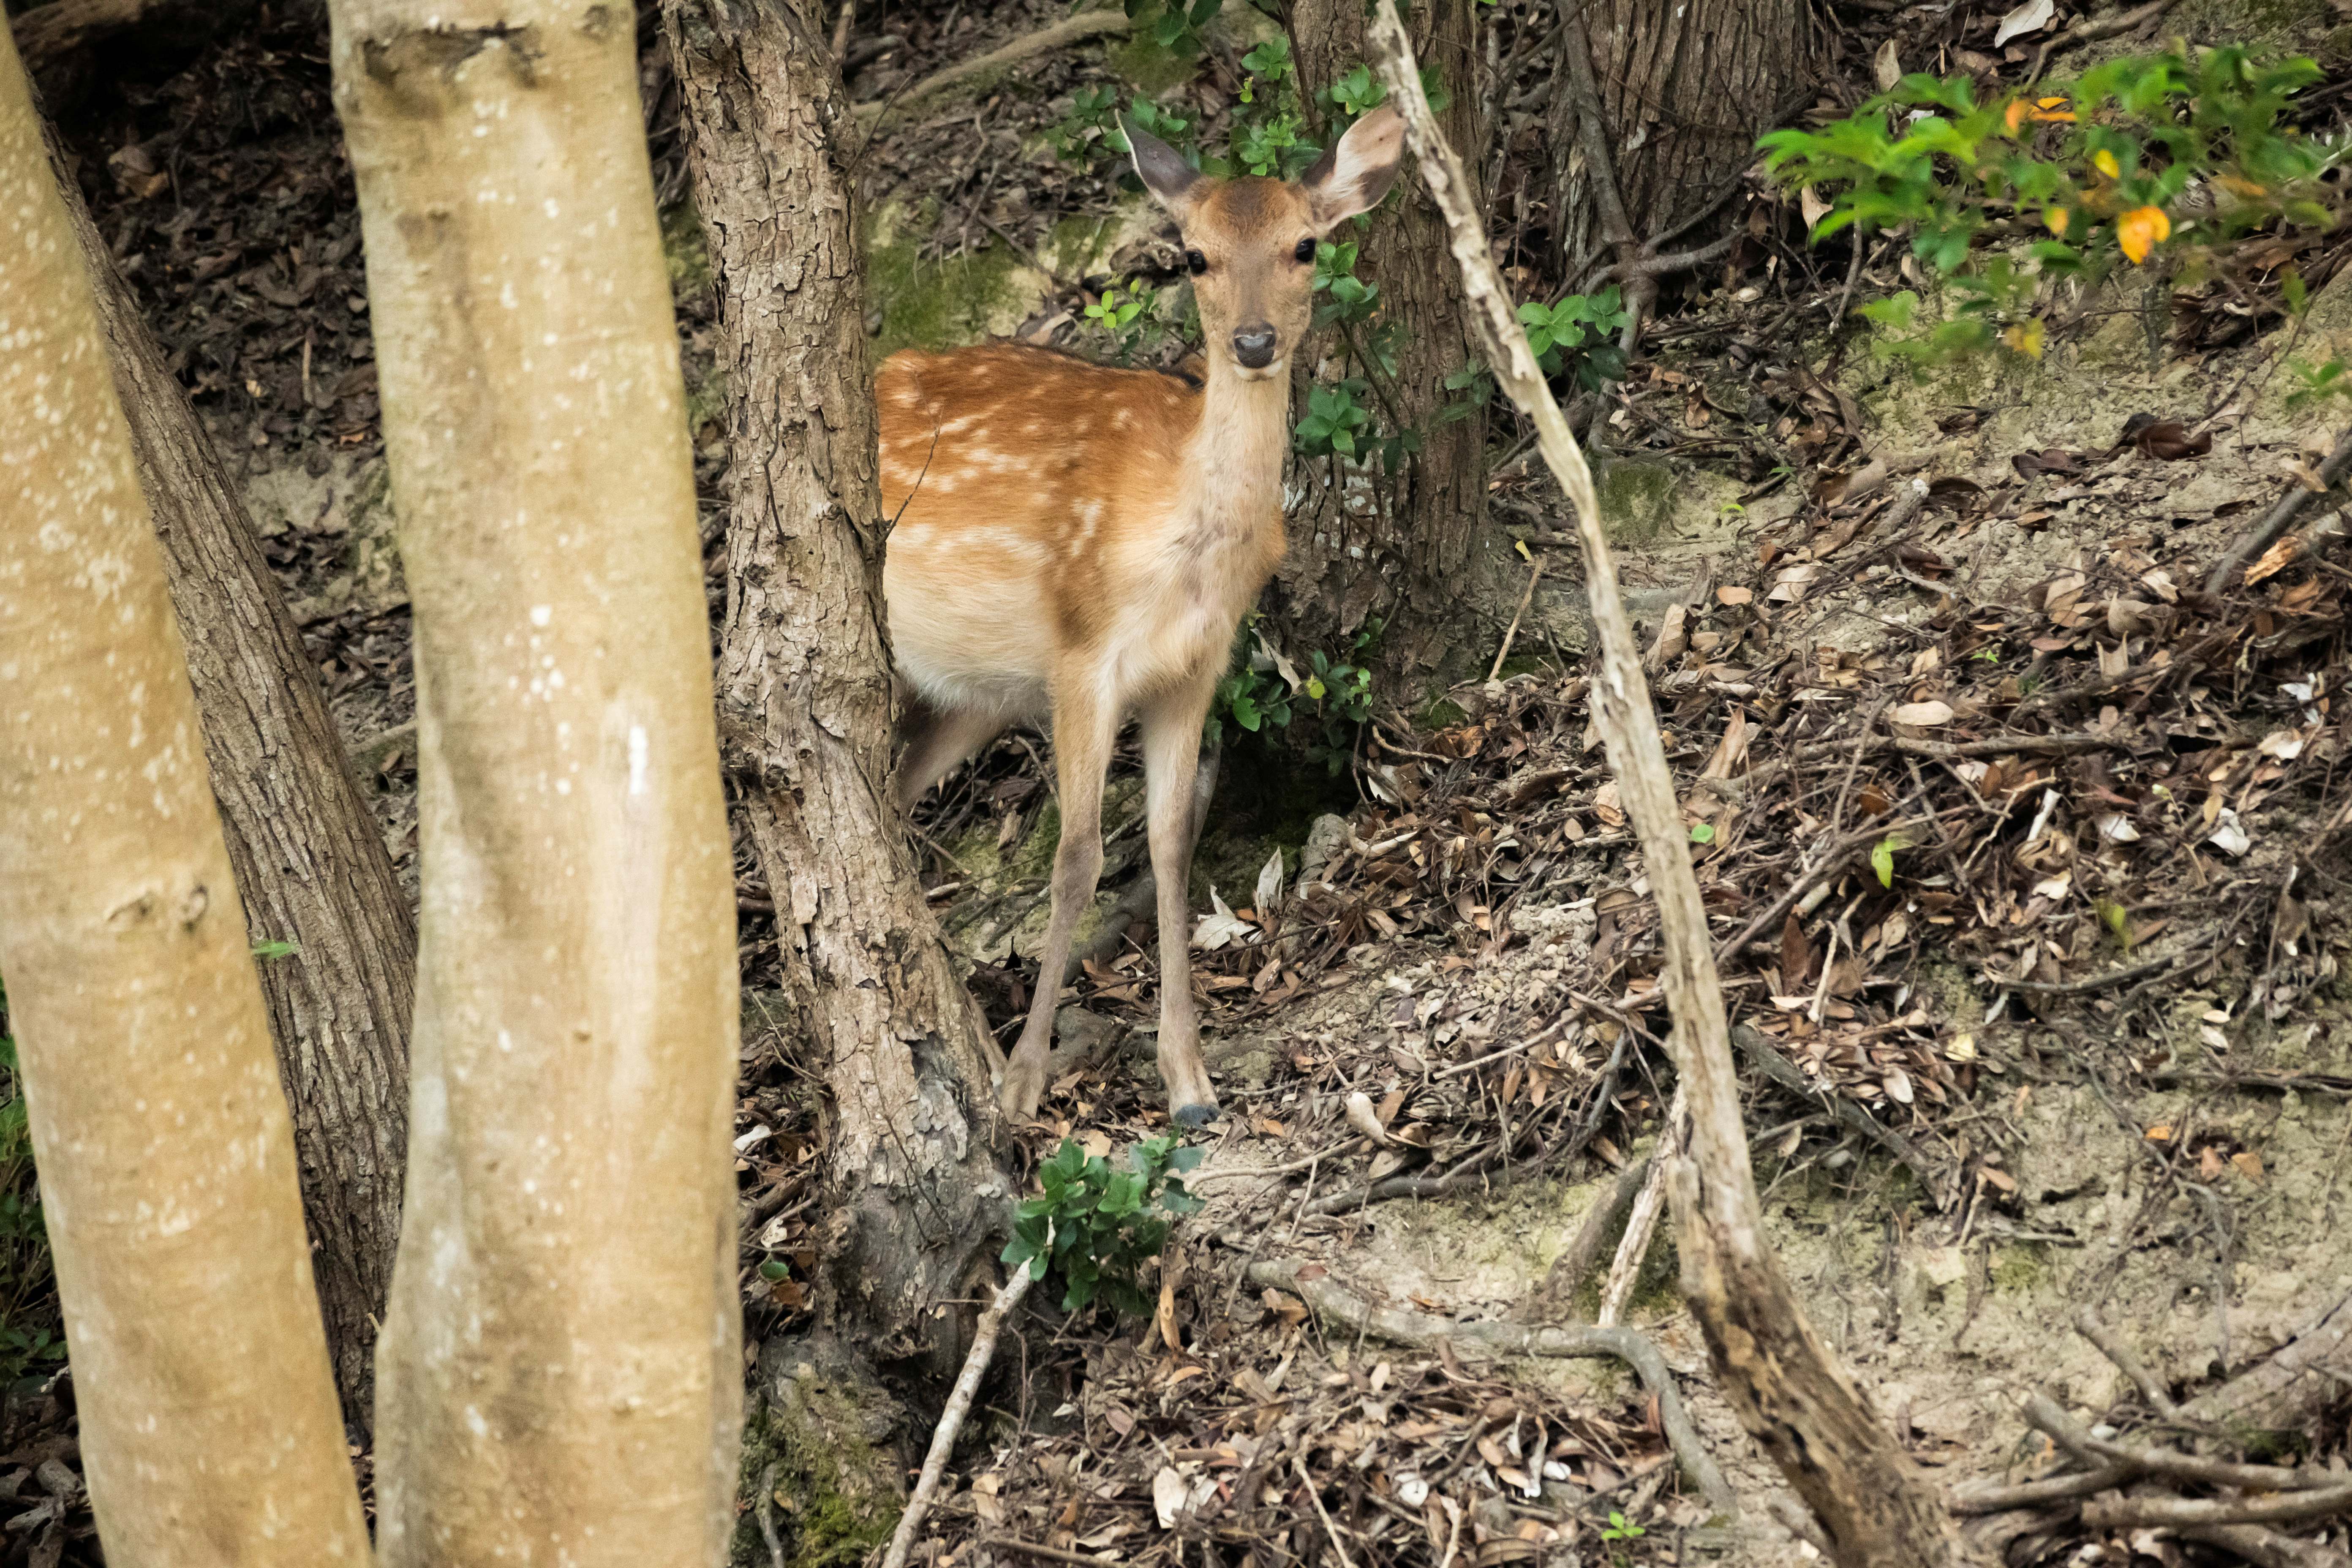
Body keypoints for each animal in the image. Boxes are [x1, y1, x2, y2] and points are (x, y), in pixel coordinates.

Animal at [878, 106, 1405, 1128]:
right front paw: (1020, 1083)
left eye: (1305, 245)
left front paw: (1188, 1080)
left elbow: (1169, 842)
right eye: (1194, 256)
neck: (1181, 551)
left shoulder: (1193, 670)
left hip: (960, 700)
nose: (1253, 342)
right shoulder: (1080, 653)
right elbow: (1078, 855)